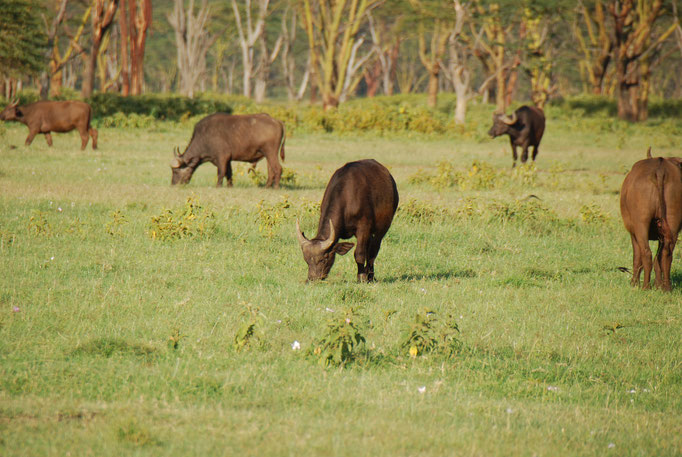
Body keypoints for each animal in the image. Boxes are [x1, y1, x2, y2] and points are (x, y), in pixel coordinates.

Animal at [616, 149, 680, 292]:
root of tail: (660, 167)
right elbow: (658, 259)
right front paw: (658, 284)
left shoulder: (633, 233)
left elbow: (637, 258)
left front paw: (634, 283)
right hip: (672, 225)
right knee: (666, 254)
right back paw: (666, 287)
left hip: (641, 225)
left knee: (646, 253)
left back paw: (645, 286)